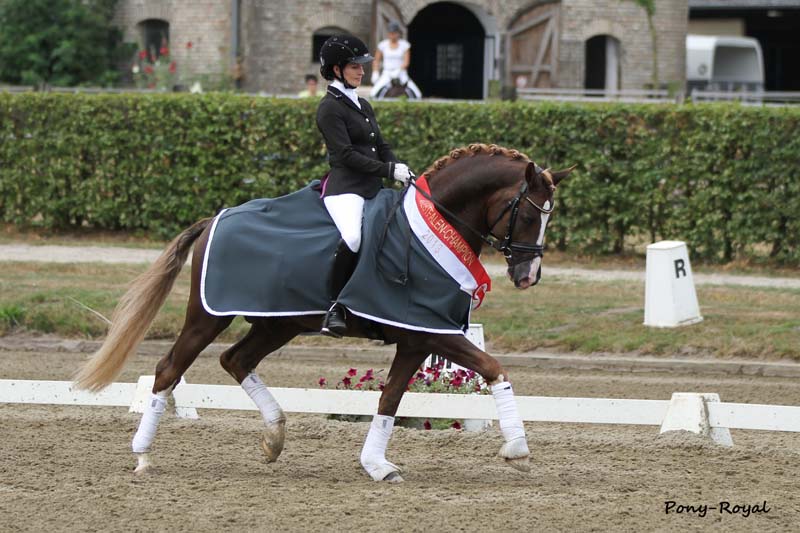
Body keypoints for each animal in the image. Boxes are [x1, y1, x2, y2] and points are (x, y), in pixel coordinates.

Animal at [74, 143, 574, 482]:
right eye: (528, 215)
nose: (529, 276)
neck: (435, 227)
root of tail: (214, 218)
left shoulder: (417, 336)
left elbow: (390, 399)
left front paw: (377, 465)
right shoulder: (432, 331)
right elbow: (493, 368)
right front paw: (517, 450)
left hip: (280, 323)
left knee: (235, 359)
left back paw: (274, 438)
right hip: (208, 317)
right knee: (169, 369)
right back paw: (142, 455)